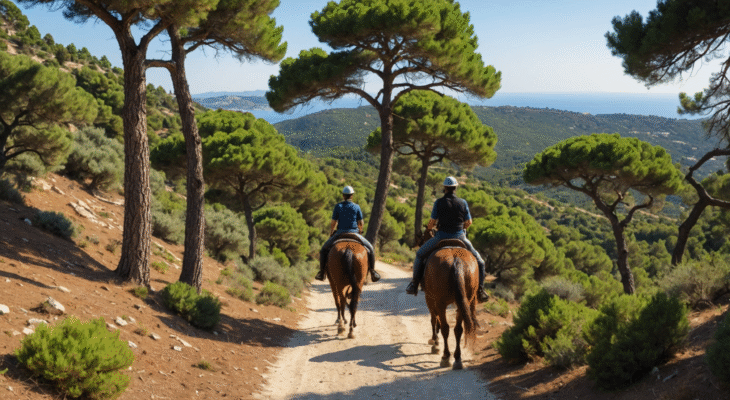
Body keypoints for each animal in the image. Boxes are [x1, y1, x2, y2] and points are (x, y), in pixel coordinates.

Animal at [422, 239, 480, 370]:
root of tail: (456, 259)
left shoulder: (430, 298)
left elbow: (433, 319)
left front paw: (435, 342)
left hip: (440, 303)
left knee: (445, 328)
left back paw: (445, 357)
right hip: (463, 302)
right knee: (458, 329)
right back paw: (457, 359)